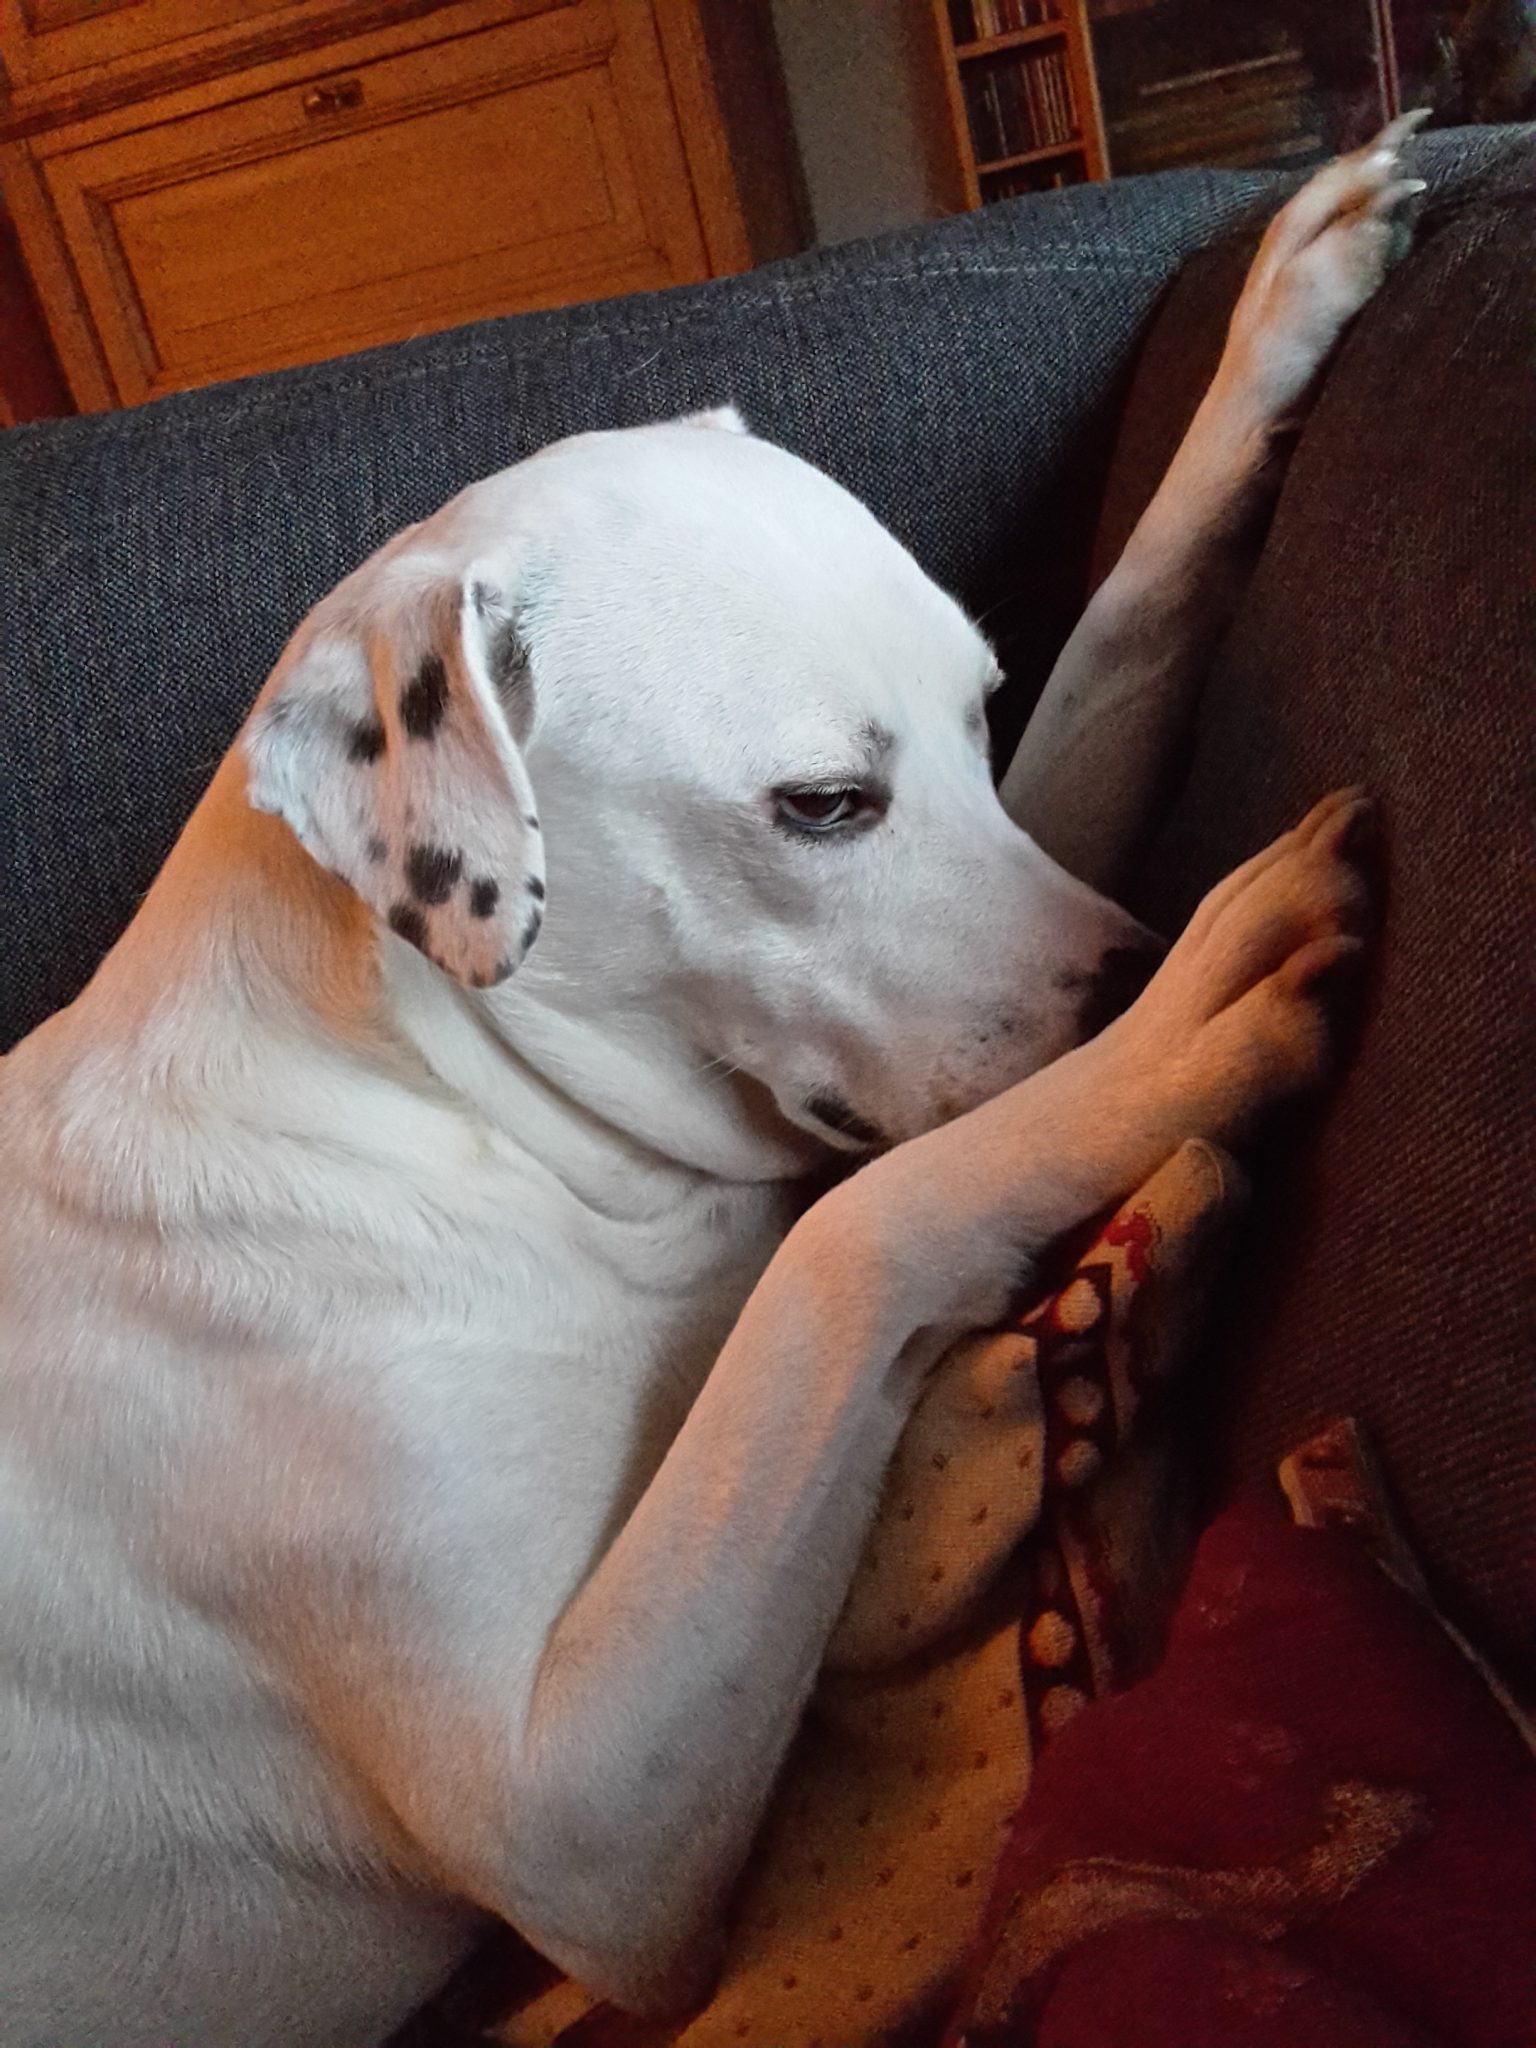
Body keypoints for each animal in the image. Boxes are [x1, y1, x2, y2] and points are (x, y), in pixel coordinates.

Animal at [0, 126, 1423, 2046]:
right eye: (820, 804)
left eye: (980, 717)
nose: (1127, 973)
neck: (454, 1112)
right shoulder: (578, 1808)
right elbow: (852, 1237)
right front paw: (1192, 1016)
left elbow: (1122, 625)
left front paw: (1287, 303)